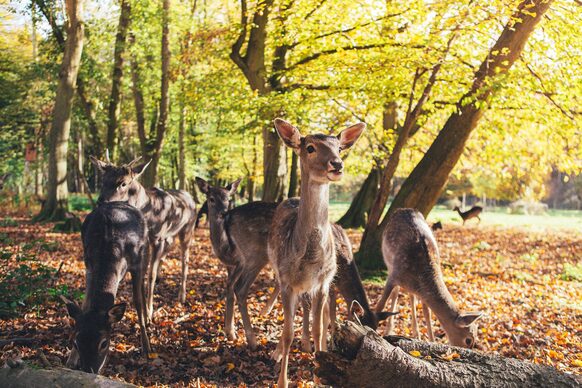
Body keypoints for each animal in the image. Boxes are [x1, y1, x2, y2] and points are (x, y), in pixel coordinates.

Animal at [62, 200, 152, 372]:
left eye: (104, 343)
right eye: (76, 342)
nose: (89, 370)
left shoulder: (136, 263)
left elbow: (137, 301)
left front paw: (147, 348)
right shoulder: (89, 264)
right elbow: (85, 303)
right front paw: (70, 359)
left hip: (146, 252)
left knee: (143, 286)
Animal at [91, 153, 198, 320]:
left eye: (123, 183)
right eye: (103, 180)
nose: (101, 201)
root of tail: (191, 198)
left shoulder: (158, 237)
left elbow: (150, 275)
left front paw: (150, 311)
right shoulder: (146, 241)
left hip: (188, 229)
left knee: (185, 259)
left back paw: (182, 296)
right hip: (170, 236)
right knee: (168, 249)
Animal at [196, 177, 278, 350]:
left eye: (228, 199)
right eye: (211, 198)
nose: (223, 213)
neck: (224, 249)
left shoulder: (239, 262)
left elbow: (230, 287)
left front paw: (230, 331)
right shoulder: (233, 265)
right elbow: (230, 286)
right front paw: (230, 331)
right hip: (258, 255)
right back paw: (254, 336)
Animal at [268, 118, 364, 388]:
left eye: (339, 148)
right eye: (309, 147)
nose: (337, 164)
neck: (309, 257)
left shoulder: (322, 282)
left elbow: (320, 326)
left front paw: (320, 374)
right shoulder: (287, 281)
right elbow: (287, 332)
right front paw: (282, 381)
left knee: (314, 313)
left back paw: (308, 345)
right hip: (279, 274)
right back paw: (277, 352)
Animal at [376, 209, 486, 348]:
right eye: (468, 340)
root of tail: (403, 209)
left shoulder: (423, 293)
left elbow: (427, 313)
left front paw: (432, 341)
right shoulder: (394, 275)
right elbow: (381, 304)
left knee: (411, 297)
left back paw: (416, 333)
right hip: (389, 263)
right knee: (396, 294)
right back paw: (389, 330)